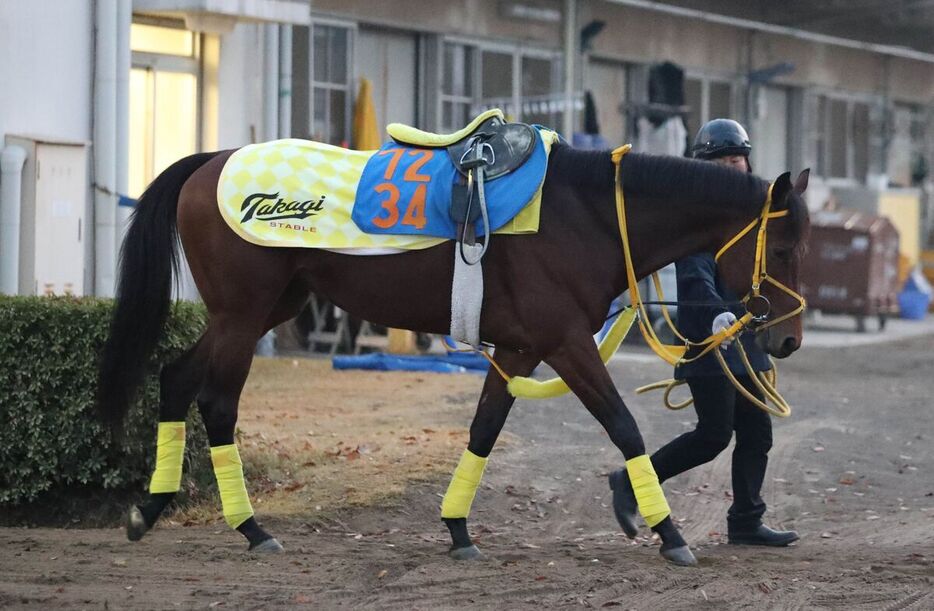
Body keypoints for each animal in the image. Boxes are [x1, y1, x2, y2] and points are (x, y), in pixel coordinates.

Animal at [97, 141, 812, 568]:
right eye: (783, 249)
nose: (786, 341)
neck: (585, 215)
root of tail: (213, 161)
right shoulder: (565, 342)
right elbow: (624, 426)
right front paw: (670, 533)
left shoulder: (521, 348)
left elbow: (483, 430)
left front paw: (459, 528)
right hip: (244, 315)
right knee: (216, 403)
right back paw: (250, 527)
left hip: (264, 308)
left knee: (174, 379)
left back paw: (149, 509)